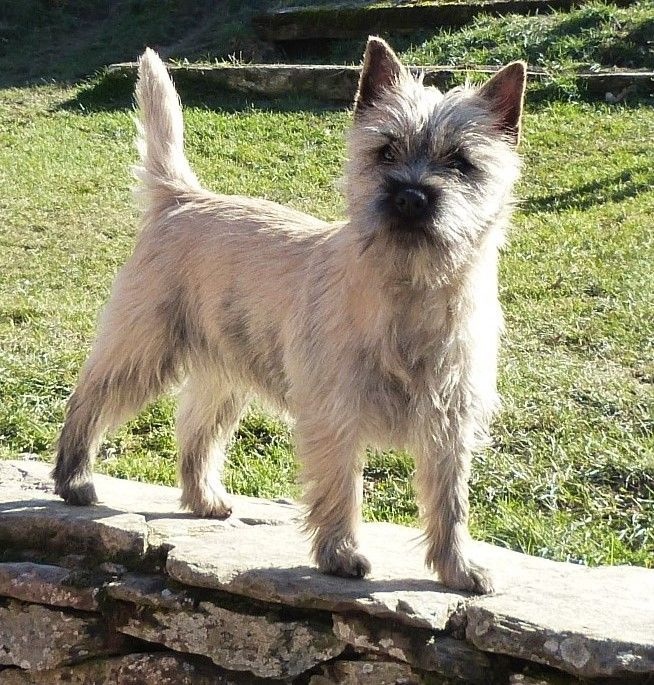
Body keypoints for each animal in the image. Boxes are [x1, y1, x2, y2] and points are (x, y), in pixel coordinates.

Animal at [53, 37, 526, 593]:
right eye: (386, 150)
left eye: (461, 162)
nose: (411, 196)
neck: (409, 291)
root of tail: (184, 198)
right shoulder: (336, 413)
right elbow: (342, 487)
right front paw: (341, 554)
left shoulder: (449, 425)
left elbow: (450, 503)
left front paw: (458, 568)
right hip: (143, 350)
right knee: (88, 400)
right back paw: (74, 479)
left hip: (224, 375)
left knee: (195, 431)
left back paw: (204, 499)